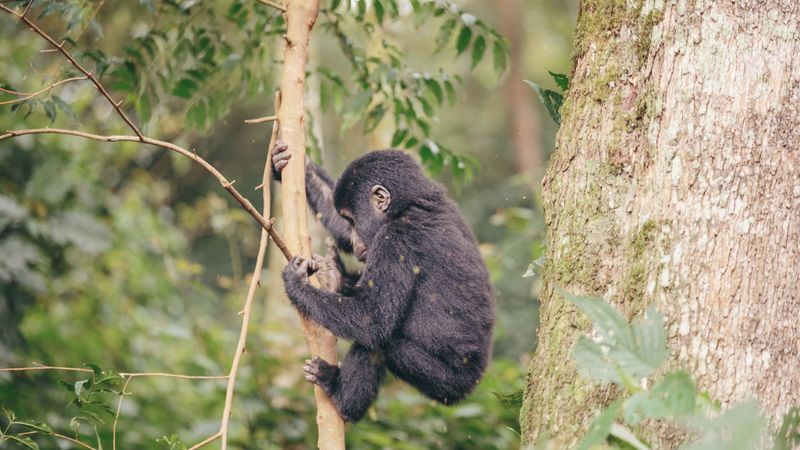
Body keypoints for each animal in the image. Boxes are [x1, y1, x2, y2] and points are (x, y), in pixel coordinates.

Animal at [274, 142, 494, 424]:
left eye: (352, 220)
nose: (355, 241)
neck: (407, 208)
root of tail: (474, 383)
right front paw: (298, 165)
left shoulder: (395, 240)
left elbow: (372, 317)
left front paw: (297, 284)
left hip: (444, 382)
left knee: (377, 344)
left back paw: (339, 395)